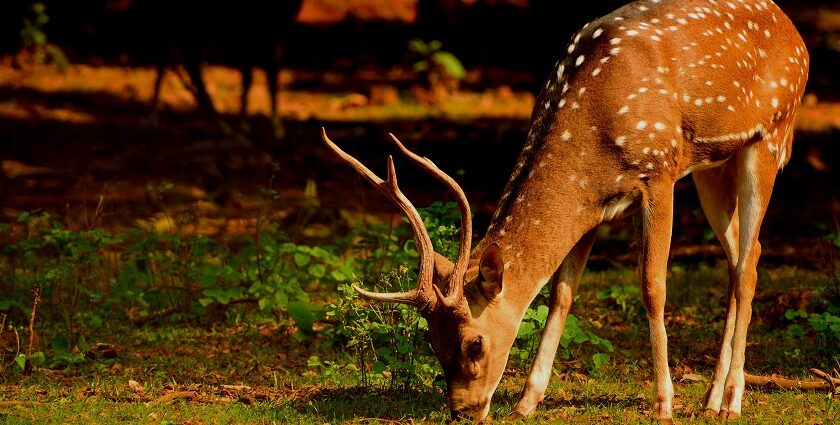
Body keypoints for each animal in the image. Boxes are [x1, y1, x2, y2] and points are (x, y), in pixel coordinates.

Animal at [320, 0, 808, 420]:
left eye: (475, 344)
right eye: (433, 343)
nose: (462, 410)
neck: (591, 135)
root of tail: (794, 32)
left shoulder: (660, 171)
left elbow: (652, 287)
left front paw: (664, 403)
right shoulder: (594, 207)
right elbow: (562, 293)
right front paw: (526, 401)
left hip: (770, 136)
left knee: (748, 266)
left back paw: (731, 401)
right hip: (714, 165)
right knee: (744, 256)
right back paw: (710, 398)